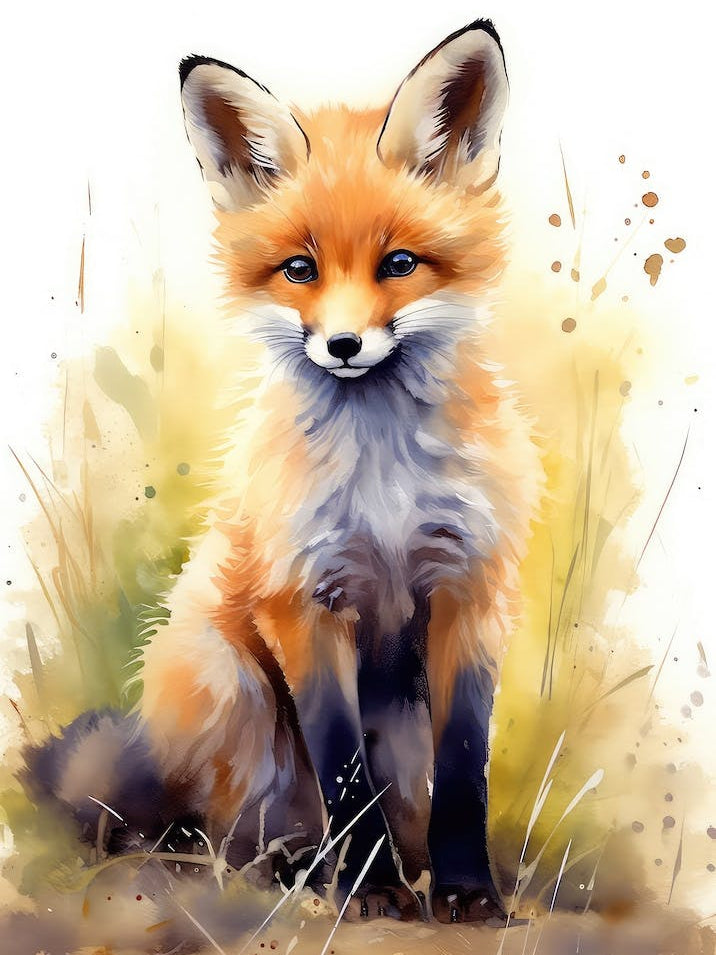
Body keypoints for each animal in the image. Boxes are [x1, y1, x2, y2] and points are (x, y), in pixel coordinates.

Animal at [22, 18, 542, 926]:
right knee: (233, 827)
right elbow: (342, 771)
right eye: (300, 269)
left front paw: (467, 890)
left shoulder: (471, 587)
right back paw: (300, 867)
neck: (385, 481)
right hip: (229, 683)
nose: (343, 345)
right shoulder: (303, 597)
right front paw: (369, 891)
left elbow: (465, 769)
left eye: (400, 264)